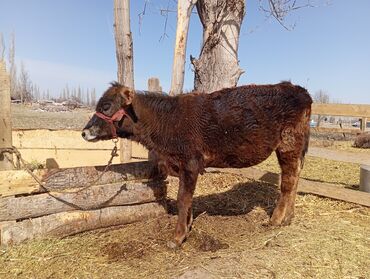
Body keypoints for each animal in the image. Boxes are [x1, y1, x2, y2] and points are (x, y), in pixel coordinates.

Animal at [81, 82, 312, 248]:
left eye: (106, 106)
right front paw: (188, 225)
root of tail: (296, 88)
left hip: (288, 144)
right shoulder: (184, 167)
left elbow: (182, 199)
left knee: (288, 182)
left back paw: (275, 220)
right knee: (295, 178)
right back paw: (288, 217)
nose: (84, 132)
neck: (167, 121)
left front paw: (177, 238)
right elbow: (188, 198)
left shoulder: (190, 162)